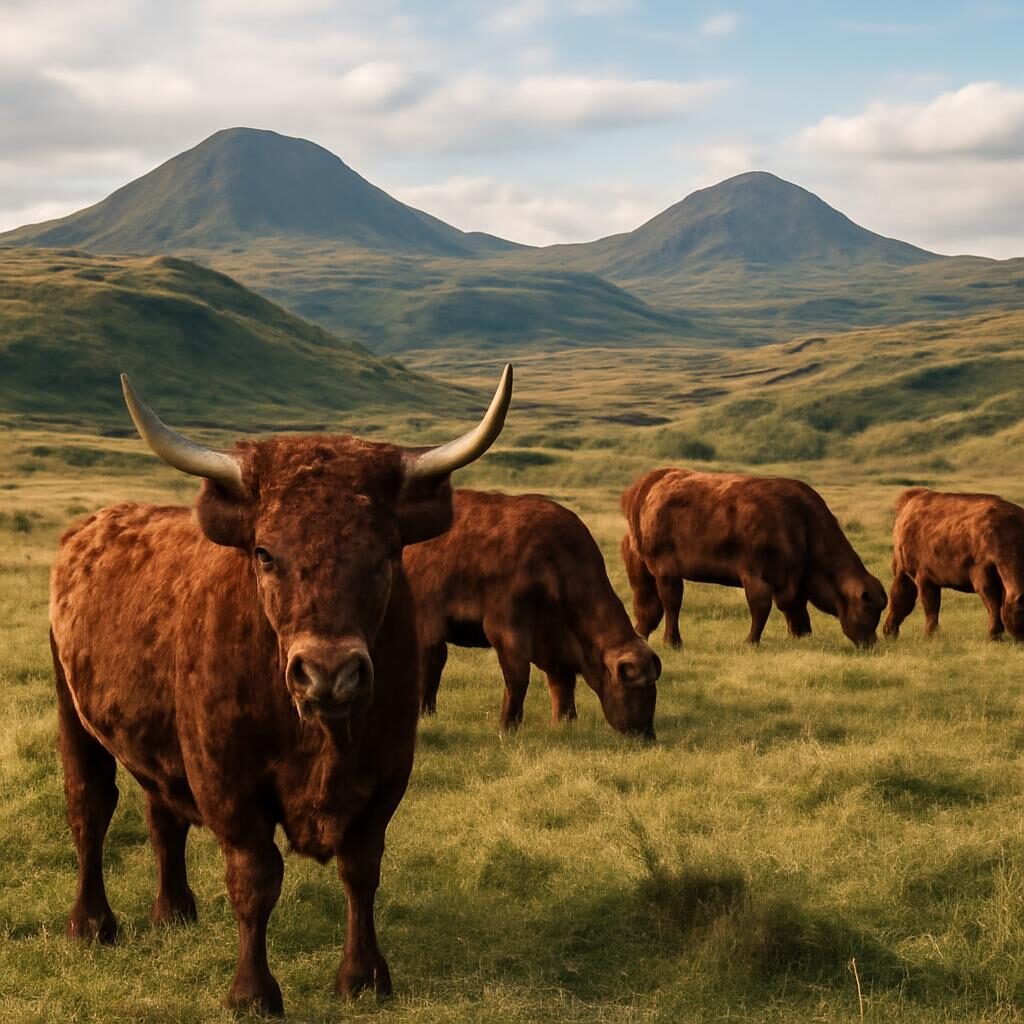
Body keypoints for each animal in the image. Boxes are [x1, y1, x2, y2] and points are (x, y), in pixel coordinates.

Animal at [48, 367, 512, 1016]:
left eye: (384, 554)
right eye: (266, 553)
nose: (328, 673)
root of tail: (87, 528)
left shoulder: (387, 774)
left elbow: (360, 869)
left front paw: (364, 977)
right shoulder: (227, 781)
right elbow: (255, 880)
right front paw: (251, 993)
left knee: (160, 813)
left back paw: (174, 911)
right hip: (72, 712)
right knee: (89, 805)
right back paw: (91, 924)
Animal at [404, 490, 661, 738]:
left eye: (654, 688)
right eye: (637, 687)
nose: (647, 734)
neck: (554, 559)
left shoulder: (555, 643)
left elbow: (562, 682)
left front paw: (565, 721)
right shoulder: (505, 631)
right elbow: (517, 678)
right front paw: (508, 725)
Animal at [620, 468, 886, 649]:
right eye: (868, 608)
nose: (871, 642)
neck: (802, 522)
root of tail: (646, 485)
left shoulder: (793, 582)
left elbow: (796, 610)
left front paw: (801, 636)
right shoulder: (757, 577)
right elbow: (761, 608)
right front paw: (751, 641)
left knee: (650, 604)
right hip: (666, 570)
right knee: (670, 604)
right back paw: (672, 641)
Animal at [883, 487, 1024, 640]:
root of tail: (914, 496)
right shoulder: (981, 577)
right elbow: (993, 606)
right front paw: (993, 635)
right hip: (909, 573)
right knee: (904, 600)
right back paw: (892, 632)